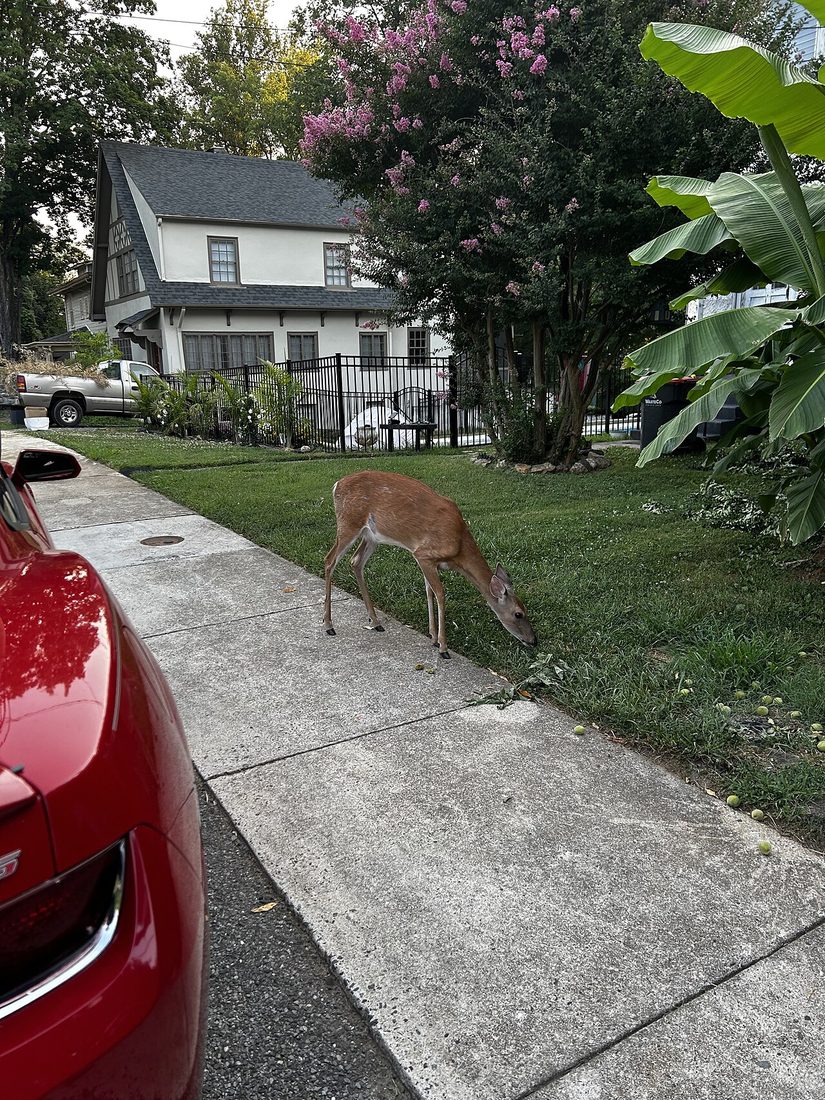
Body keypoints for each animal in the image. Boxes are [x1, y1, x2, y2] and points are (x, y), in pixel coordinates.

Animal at [323, 470, 537, 658]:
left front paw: (433, 637)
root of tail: (336, 485)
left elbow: (429, 591)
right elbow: (440, 594)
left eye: (525, 610)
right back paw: (328, 625)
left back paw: (375, 622)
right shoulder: (423, 554)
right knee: (329, 560)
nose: (534, 641)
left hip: (371, 536)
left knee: (356, 561)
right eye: (518, 614)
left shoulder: (429, 562)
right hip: (349, 523)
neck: (458, 547)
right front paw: (443, 647)